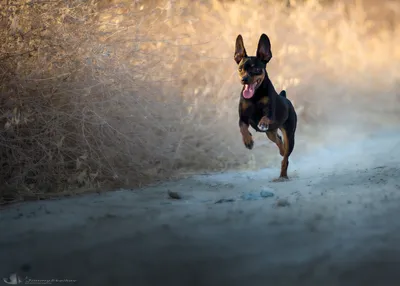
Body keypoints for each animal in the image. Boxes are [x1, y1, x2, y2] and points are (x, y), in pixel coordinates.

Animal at [234, 33, 296, 180]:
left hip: (290, 135)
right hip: (270, 133)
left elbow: (265, 117)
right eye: (240, 69)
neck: (255, 96)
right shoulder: (242, 118)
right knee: (279, 141)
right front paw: (248, 141)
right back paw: (281, 150)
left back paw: (283, 176)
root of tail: (285, 98)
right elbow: (242, 128)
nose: (244, 79)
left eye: (257, 69)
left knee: (285, 158)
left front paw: (261, 123)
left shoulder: (270, 115)